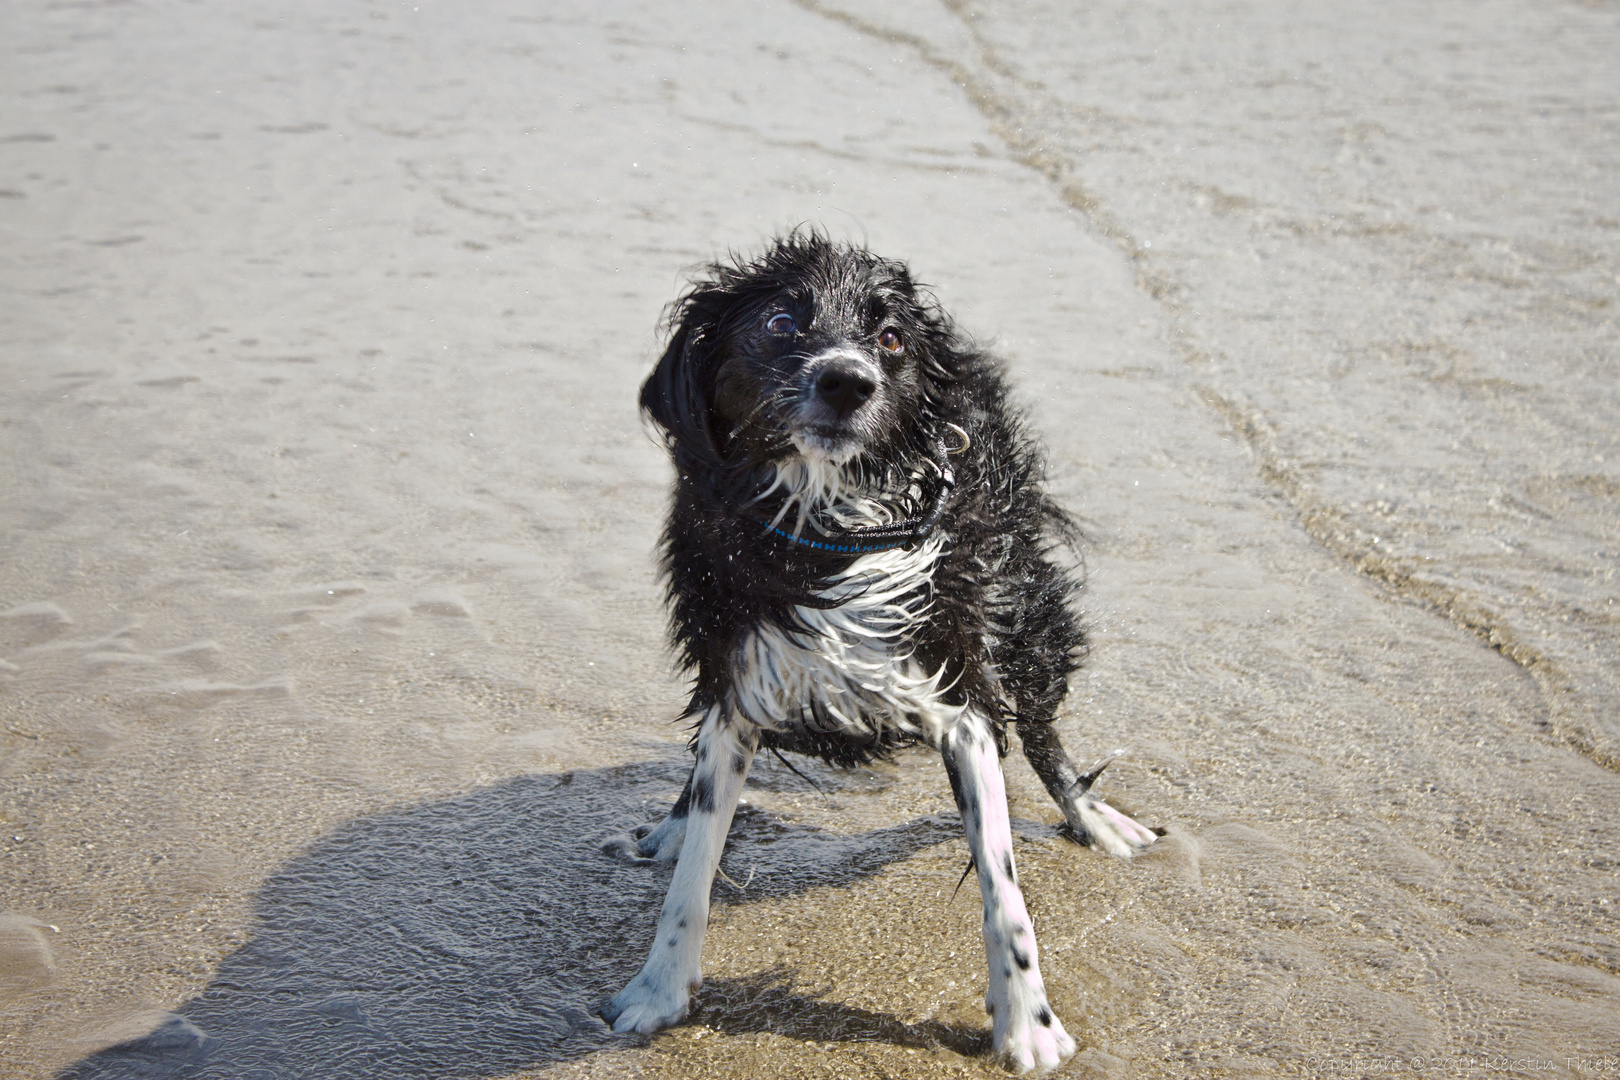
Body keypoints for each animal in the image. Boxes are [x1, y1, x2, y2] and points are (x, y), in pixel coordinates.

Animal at [602, 236, 1159, 1075]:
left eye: (891, 339)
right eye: (779, 321)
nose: (848, 381)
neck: (826, 525)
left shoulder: (961, 695)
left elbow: (1003, 886)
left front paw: (1028, 1024)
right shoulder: (739, 679)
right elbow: (696, 864)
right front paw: (657, 989)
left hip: (1021, 610)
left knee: (1043, 726)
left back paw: (1093, 819)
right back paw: (668, 826)